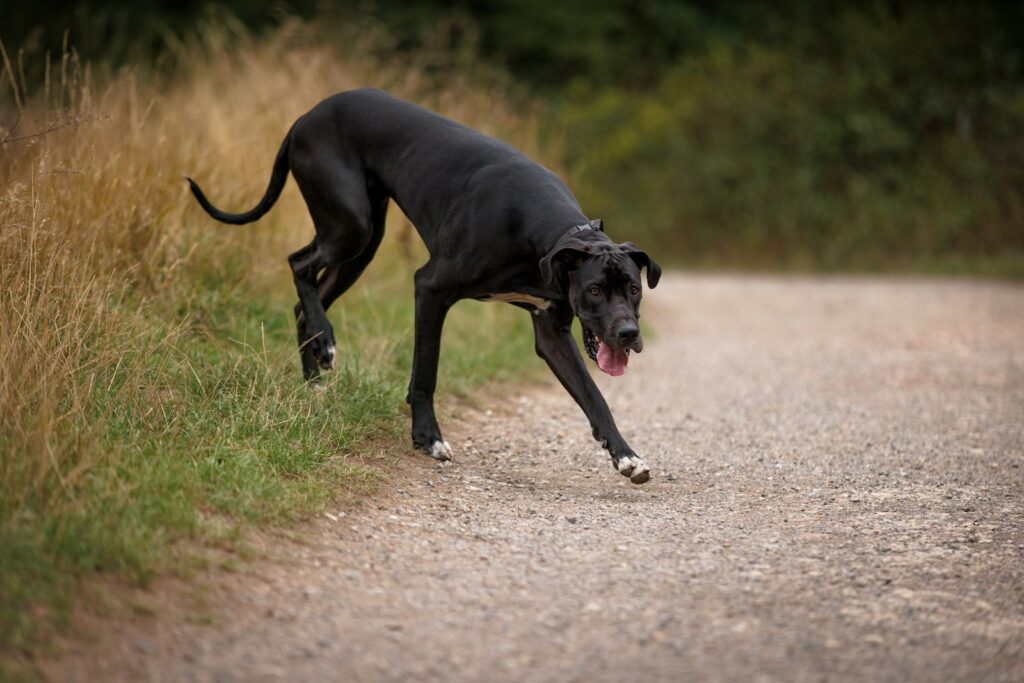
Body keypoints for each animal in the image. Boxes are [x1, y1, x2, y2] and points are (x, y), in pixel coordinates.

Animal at [187, 90, 659, 483]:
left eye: (633, 290)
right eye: (595, 290)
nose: (628, 334)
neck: (543, 232)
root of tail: (306, 116)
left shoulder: (551, 332)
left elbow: (593, 396)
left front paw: (626, 456)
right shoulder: (431, 289)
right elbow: (426, 372)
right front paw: (428, 438)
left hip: (362, 244)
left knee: (304, 304)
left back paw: (315, 379)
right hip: (350, 225)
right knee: (299, 263)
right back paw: (326, 344)